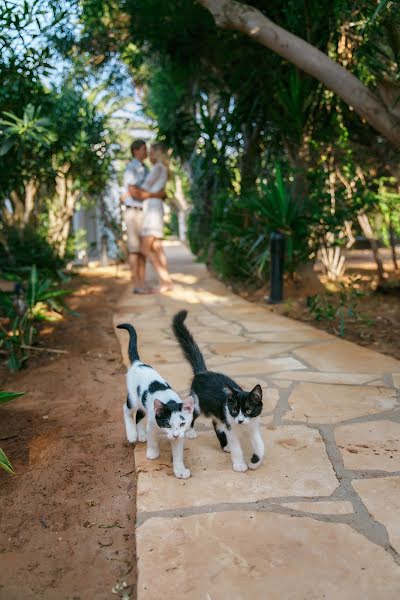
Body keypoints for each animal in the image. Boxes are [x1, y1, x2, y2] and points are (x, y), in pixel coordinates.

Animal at [116, 322, 195, 480]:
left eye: (182, 424)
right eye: (167, 424)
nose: (175, 435)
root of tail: (138, 363)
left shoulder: (180, 435)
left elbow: (178, 454)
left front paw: (180, 470)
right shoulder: (153, 424)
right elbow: (152, 440)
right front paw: (152, 453)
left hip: (144, 403)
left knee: (139, 415)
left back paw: (140, 434)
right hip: (133, 398)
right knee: (126, 410)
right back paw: (132, 434)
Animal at [173, 310, 264, 474]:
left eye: (248, 410)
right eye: (234, 410)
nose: (240, 420)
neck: (242, 427)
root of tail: (202, 372)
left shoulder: (253, 426)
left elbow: (260, 446)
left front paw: (255, 461)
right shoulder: (231, 427)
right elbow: (237, 448)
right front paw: (239, 464)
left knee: (217, 425)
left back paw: (225, 445)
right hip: (197, 402)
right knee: (193, 415)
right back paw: (191, 432)